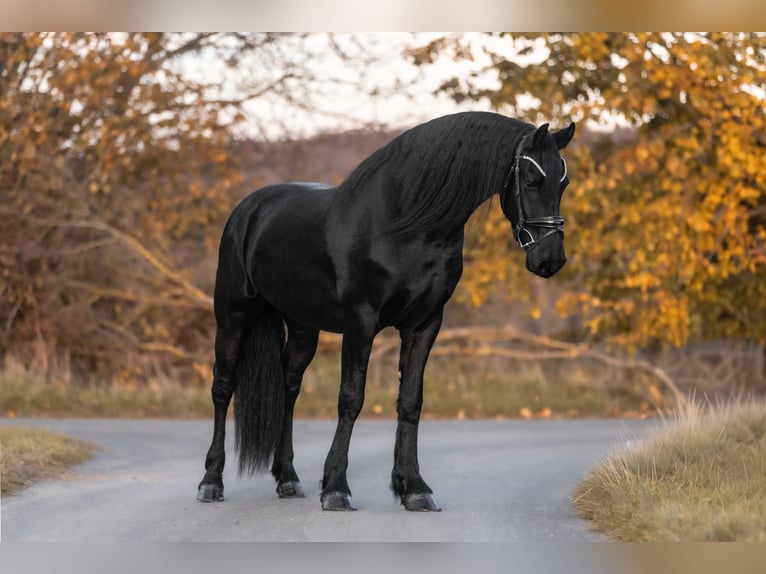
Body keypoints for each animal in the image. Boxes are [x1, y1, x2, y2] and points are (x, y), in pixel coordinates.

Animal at [197, 111, 575, 511]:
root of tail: (248, 209)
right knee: (223, 387)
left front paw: (414, 488)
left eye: (563, 182)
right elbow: (351, 398)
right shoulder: (360, 321)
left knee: (289, 386)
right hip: (233, 317)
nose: (550, 260)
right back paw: (211, 481)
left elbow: (410, 401)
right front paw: (336, 488)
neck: (406, 226)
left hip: (301, 327)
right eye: (532, 180)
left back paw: (287, 478)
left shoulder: (425, 324)